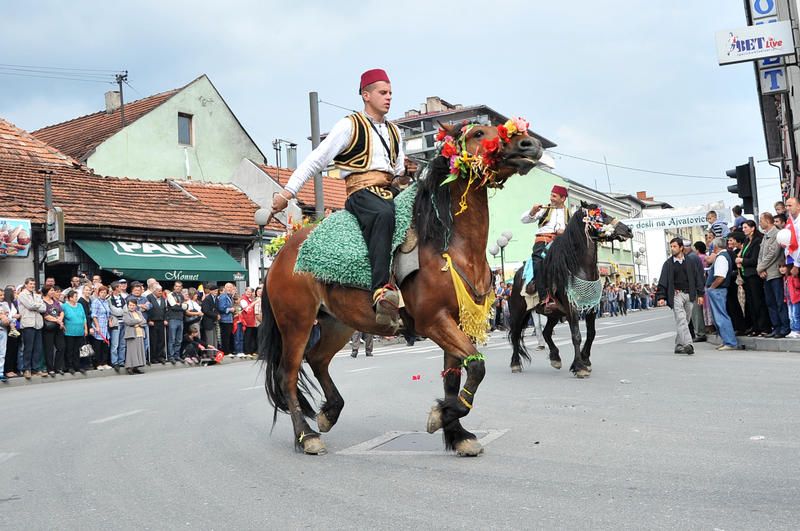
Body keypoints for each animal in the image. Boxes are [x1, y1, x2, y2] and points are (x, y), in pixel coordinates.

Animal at [262, 121, 544, 458]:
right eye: (478, 133)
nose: (530, 145)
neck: (447, 243)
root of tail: (281, 253)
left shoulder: (455, 321)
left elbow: (455, 378)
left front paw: (457, 433)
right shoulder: (434, 321)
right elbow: (476, 367)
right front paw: (441, 415)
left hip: (337, 322)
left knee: (317, 360)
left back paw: (329, 413)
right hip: (297, 323)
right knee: (288, 376)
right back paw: (307, 436)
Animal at [506, 203, 632, 378]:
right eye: (602, 216)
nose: (628, 230)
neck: (579, 266)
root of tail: (517, 276)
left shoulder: (591, 307)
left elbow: (591, 333)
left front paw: (585, 360)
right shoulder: (571, 307)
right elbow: (576, 335)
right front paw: (579, 367)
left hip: (554, 312)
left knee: (546, 332)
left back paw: (555, 358)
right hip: (519, 311)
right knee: (516, 334)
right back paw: (515, 363)